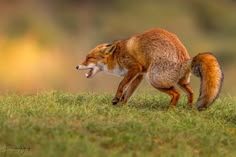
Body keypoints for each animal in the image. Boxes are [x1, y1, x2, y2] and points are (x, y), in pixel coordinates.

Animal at [76, 28, 224, 110]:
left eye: (89, 58)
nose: (76, 66)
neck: (117, 55)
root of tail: (186, 60)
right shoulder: (139, 74)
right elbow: (128, 92)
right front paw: (122, 105)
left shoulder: (135, 68)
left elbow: (122, 85)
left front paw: (116, 99)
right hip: (180, 82)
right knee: (191, 92)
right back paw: (187, 108)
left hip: (154, 79)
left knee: (176, 94)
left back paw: (169, 111)